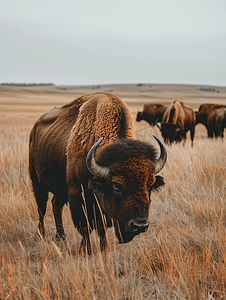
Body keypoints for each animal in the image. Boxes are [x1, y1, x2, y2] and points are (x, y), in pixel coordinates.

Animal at [29, 91, 167, 253]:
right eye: (117, 187)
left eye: (150, 186)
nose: (139, 226)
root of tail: (35, 128)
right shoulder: (78, 195)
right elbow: (85, 225)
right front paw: (86, 250)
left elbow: (101, 227)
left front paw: (104, 248)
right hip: (37, 182)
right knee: (42, 209)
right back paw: (41, 235)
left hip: (61, 189)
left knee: (56, 205)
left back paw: (61, 237)